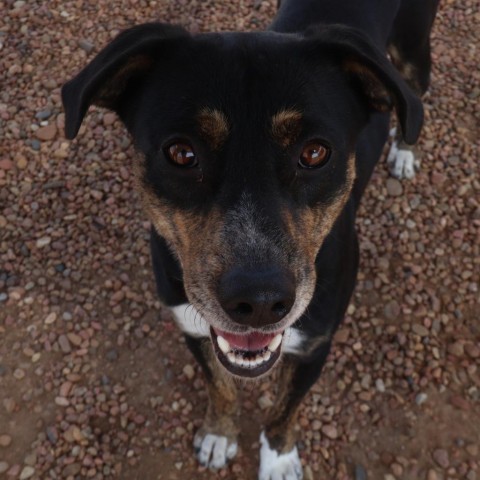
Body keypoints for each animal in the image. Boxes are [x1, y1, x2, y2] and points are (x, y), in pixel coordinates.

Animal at [62, 0, 438, 478]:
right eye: (181, 153)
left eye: (315, 152)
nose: (258, 302)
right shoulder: (192, 324)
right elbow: (221, 388)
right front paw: (219, 436)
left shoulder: (313, 345)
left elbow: (284, 409)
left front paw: (278, 459)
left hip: (413, 51)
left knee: (414, 102)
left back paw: (405, 152)